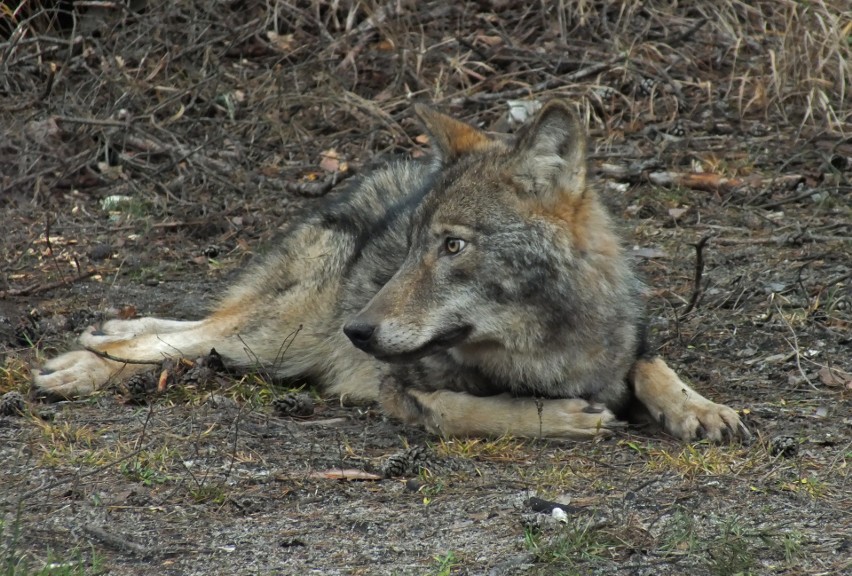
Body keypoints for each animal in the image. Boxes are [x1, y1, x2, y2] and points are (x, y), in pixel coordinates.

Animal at [33, 100, 748, 440]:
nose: (358, 331)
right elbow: (469, 413)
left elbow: (654, 369)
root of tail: (351, 191)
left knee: (183, 329)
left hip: (264, 342)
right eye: (411, 247)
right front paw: (559, 419)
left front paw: (701, 408)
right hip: (275, 341)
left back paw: (101, 334)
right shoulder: (398, 391)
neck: (547, 352)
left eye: (452, 246)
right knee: (170, 342)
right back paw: (79, 367)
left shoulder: (630, 346)